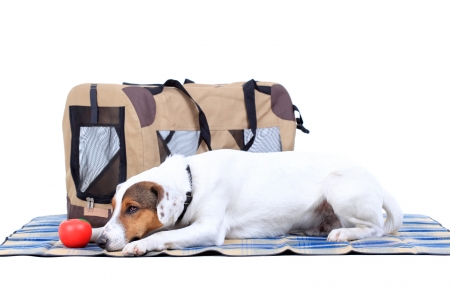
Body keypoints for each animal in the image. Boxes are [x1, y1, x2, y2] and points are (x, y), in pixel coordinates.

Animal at [93, 149, 402, 255]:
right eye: (113, 207)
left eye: (133, 208)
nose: (103, 243)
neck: (192, 182)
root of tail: (378, 182)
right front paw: (96, 232)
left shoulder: (208, 228)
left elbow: (161, 236)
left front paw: (139, 245)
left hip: (338, 186)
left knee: (375, 228)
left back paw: (343, 233)